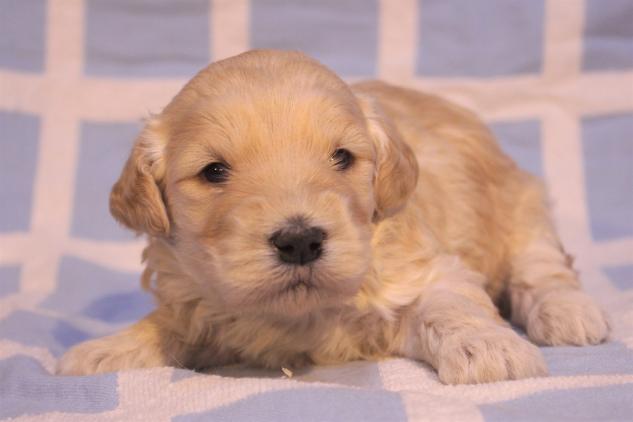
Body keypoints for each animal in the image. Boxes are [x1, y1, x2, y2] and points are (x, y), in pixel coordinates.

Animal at [57, 50, 610, 384]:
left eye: (341, 157)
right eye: (214, 171)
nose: (300, 241)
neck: (300, 313)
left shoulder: (424, 269)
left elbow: (451, 306)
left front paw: (489, 348)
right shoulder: (195, 297)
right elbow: (168, 324)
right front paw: (104, 351)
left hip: (522, 205)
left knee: (542, 267)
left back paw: (570, 313)